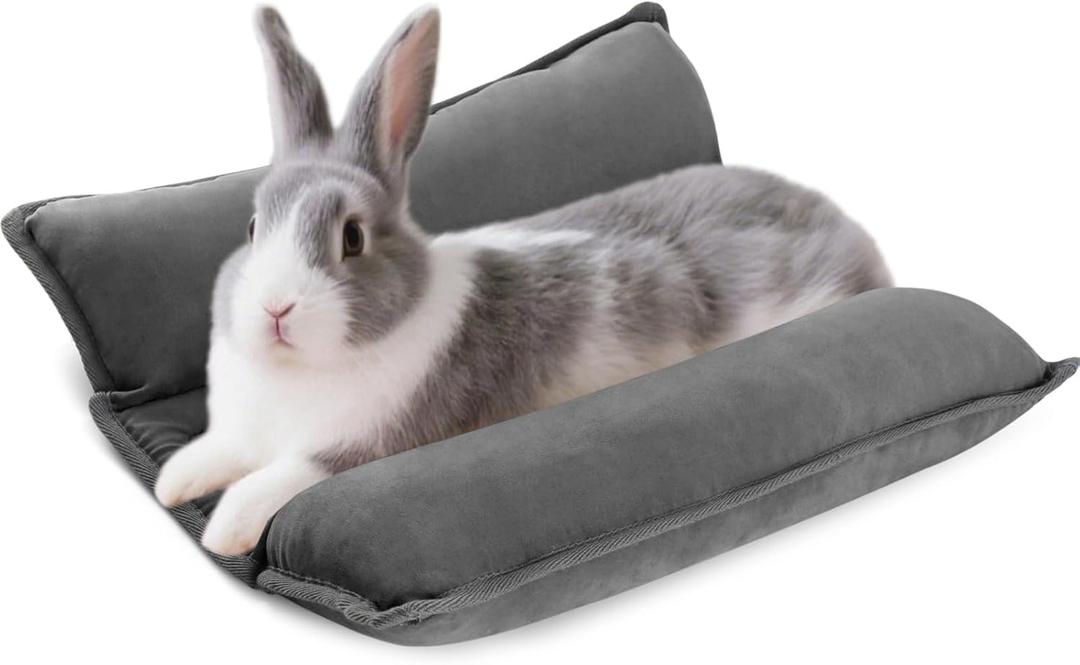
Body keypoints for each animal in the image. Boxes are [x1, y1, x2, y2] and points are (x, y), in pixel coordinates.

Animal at [154, 5, 891, 556]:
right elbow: (215, 452)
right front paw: (171, 483)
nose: (275, 310)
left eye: (352, 238)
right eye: (253, 227)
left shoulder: (366, 446)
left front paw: (223, 531)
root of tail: (845, 229)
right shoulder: (243, 433)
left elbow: (281, 478)